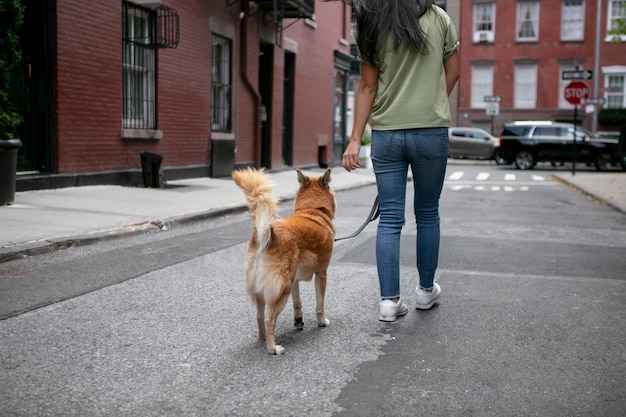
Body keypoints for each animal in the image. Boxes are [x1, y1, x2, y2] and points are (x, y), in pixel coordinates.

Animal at [230, 167, 336, 352]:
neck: (312, 210)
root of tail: (267, 236)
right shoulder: (321, 275)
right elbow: (320, 305)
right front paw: (322, 322)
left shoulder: (295, 280)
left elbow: (298, 303)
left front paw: (299, 322)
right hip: (282, 288)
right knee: (269, 319)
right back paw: (273, 348)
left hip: (265, 289)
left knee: (259, 316)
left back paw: (263, 338)